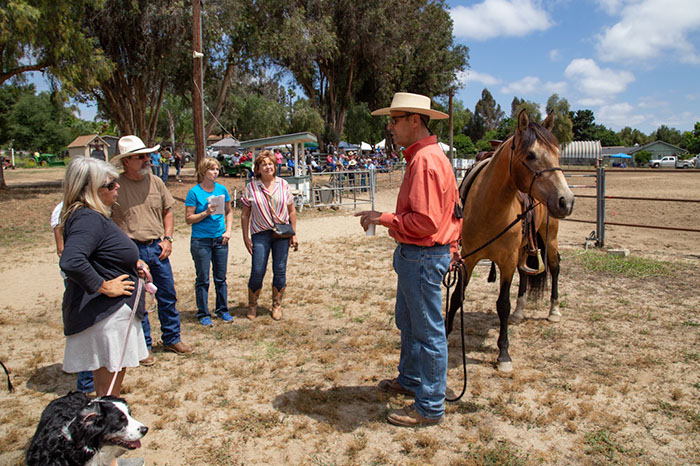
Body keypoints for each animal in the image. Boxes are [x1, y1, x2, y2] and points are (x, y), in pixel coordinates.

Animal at [445, 110, 574, 373]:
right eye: (531, 154)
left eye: (558, 151)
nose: (566, 201)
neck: (490, 209)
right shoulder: (469, 258)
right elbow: (456, 297)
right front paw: (445, 335)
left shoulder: (506, 262)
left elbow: (502, 304)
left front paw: (503, 354)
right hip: (526, 246)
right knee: (526, 273)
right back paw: (520, 311)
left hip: (550, 239)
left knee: (555, 266)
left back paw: (554, 310)